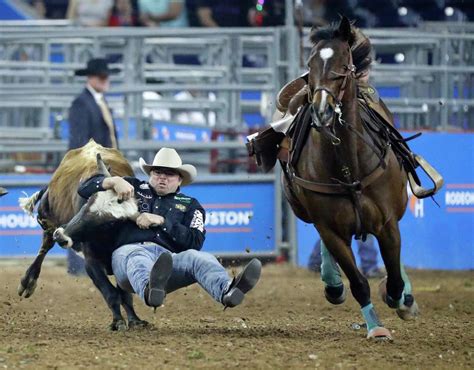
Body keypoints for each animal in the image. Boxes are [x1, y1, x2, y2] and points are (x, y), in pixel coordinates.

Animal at [282, 17, 418, 342]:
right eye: (310, 63)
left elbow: (394, 278)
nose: (322, 110)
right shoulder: (329, 227)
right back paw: (332, 283)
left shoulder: (387, 223)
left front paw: (400, 299)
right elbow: (358, 282)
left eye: (344, 64)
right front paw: (376, 327)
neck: (348, 164)